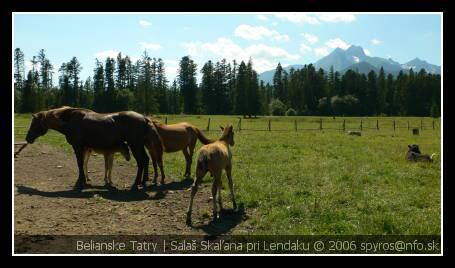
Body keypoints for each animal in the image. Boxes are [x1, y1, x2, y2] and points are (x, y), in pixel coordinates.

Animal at [25, 107, 156, 191]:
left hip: (135, 145)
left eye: (34, 123)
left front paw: (80, 182)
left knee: (141, 162)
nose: (28, 138)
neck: (69, 121)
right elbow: (83, 164)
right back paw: (144, 181)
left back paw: (136, 184)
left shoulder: (78, 146)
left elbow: (80, 163)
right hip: (139, 146)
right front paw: (83, 180)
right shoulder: (83, 148)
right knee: (146, 160)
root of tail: (144, 118)